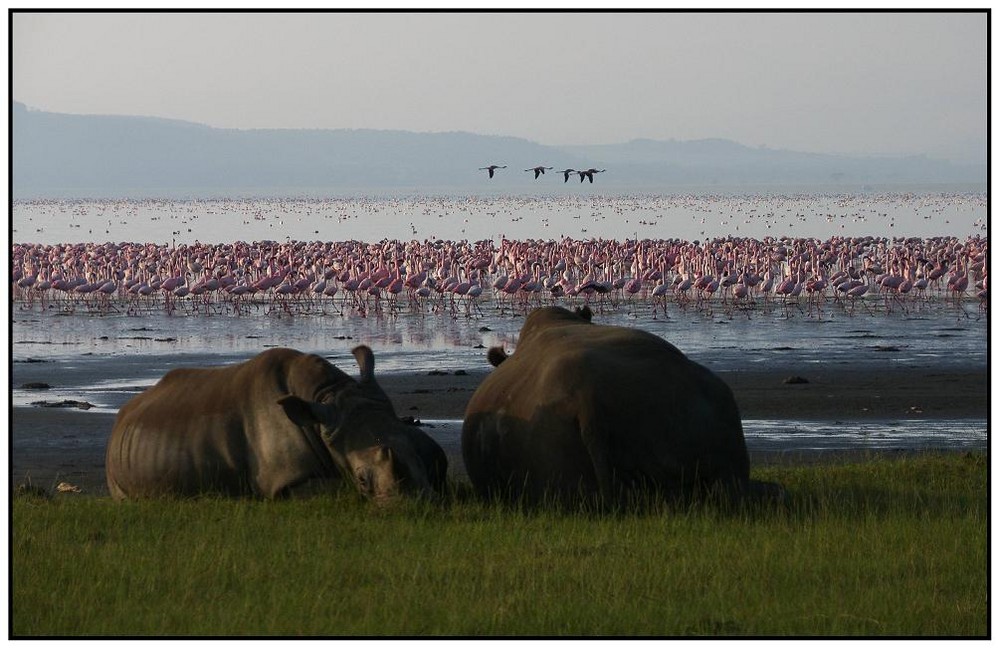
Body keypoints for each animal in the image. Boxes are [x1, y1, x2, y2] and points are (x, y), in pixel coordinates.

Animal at [105, 344, 446, 502]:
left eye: (429, 453)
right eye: (362, 480)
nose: (415, 505)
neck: (327, 396)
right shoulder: (284, 481)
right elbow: (333, 488)